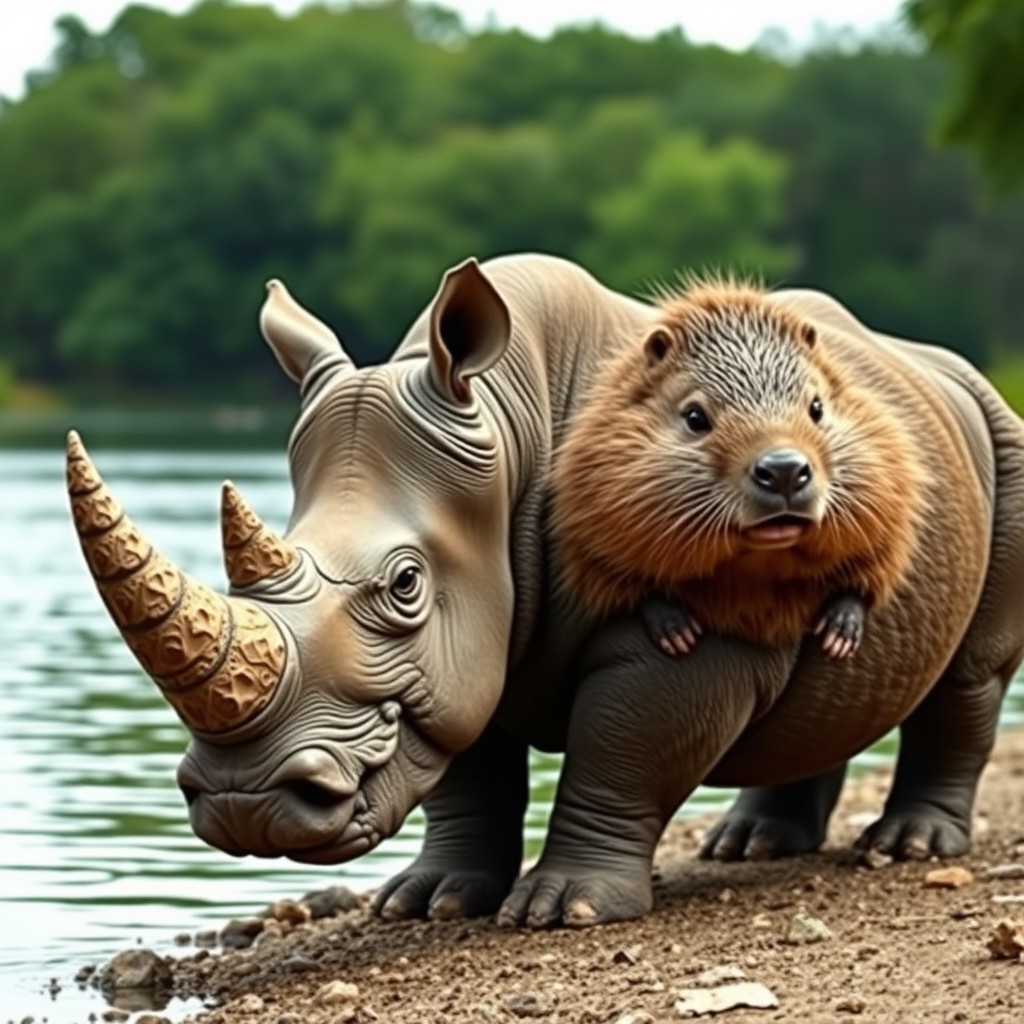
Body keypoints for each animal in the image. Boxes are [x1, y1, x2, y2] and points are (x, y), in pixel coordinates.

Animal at [67, 253, 1024, 928]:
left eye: (405, 584)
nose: (245, 806)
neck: (510, 429)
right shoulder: (456, 655)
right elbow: (465, 766)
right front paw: (431, 904)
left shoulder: (696, 622)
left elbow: (627, 748)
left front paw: (567, 911)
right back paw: (750, 850)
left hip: (1002, 435)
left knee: (970, 673)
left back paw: (904, 849)